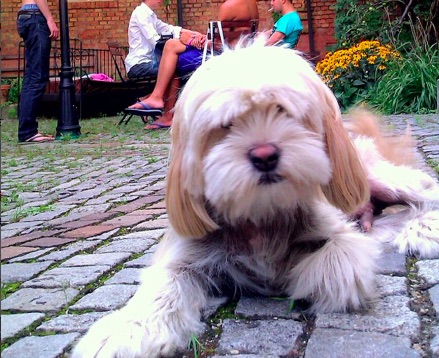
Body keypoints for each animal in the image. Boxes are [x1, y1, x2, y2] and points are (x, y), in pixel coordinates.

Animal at [72, 43, 439, 356]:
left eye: (282, 109)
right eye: (225, 124)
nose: (265, 155)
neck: (261, 214)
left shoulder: (339, 234)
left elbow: (335, 261)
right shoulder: (186, 255)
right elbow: (163, 285)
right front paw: (126, 328)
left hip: (378, 180)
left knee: (423, 190)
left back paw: (424, 226)